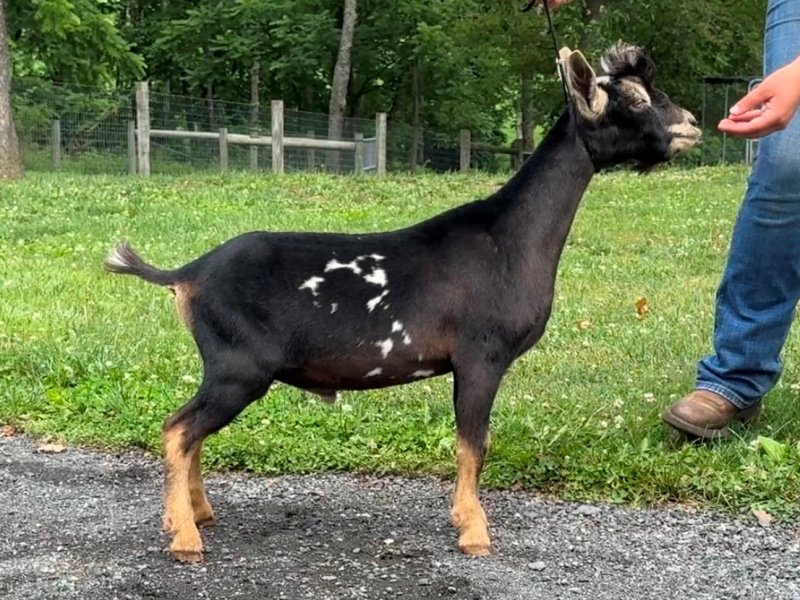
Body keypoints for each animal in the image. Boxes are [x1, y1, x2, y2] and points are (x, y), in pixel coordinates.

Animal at [104, 44, 700, 562]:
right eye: (636, 100)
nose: (692, 124)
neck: (507, 238)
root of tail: (189, 273)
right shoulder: (481, 356)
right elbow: (473, 444)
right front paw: (474, 531)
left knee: (190, 432)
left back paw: (198, 514)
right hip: (238, 365)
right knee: (178, 429)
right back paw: (185, 537)